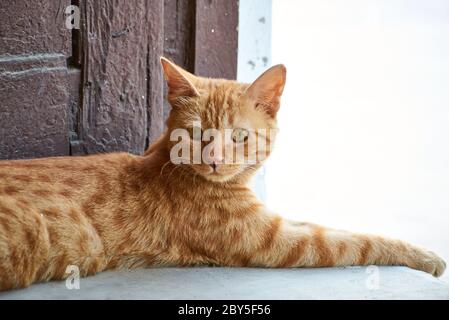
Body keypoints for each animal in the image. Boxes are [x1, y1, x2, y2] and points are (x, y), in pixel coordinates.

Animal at [0, 57, 442, 290]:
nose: (214, 160)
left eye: (240, 136)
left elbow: (335, 227)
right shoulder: (276, 239)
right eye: (197, 135)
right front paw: (425, 256)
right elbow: (354, 241)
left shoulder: (277, 221)